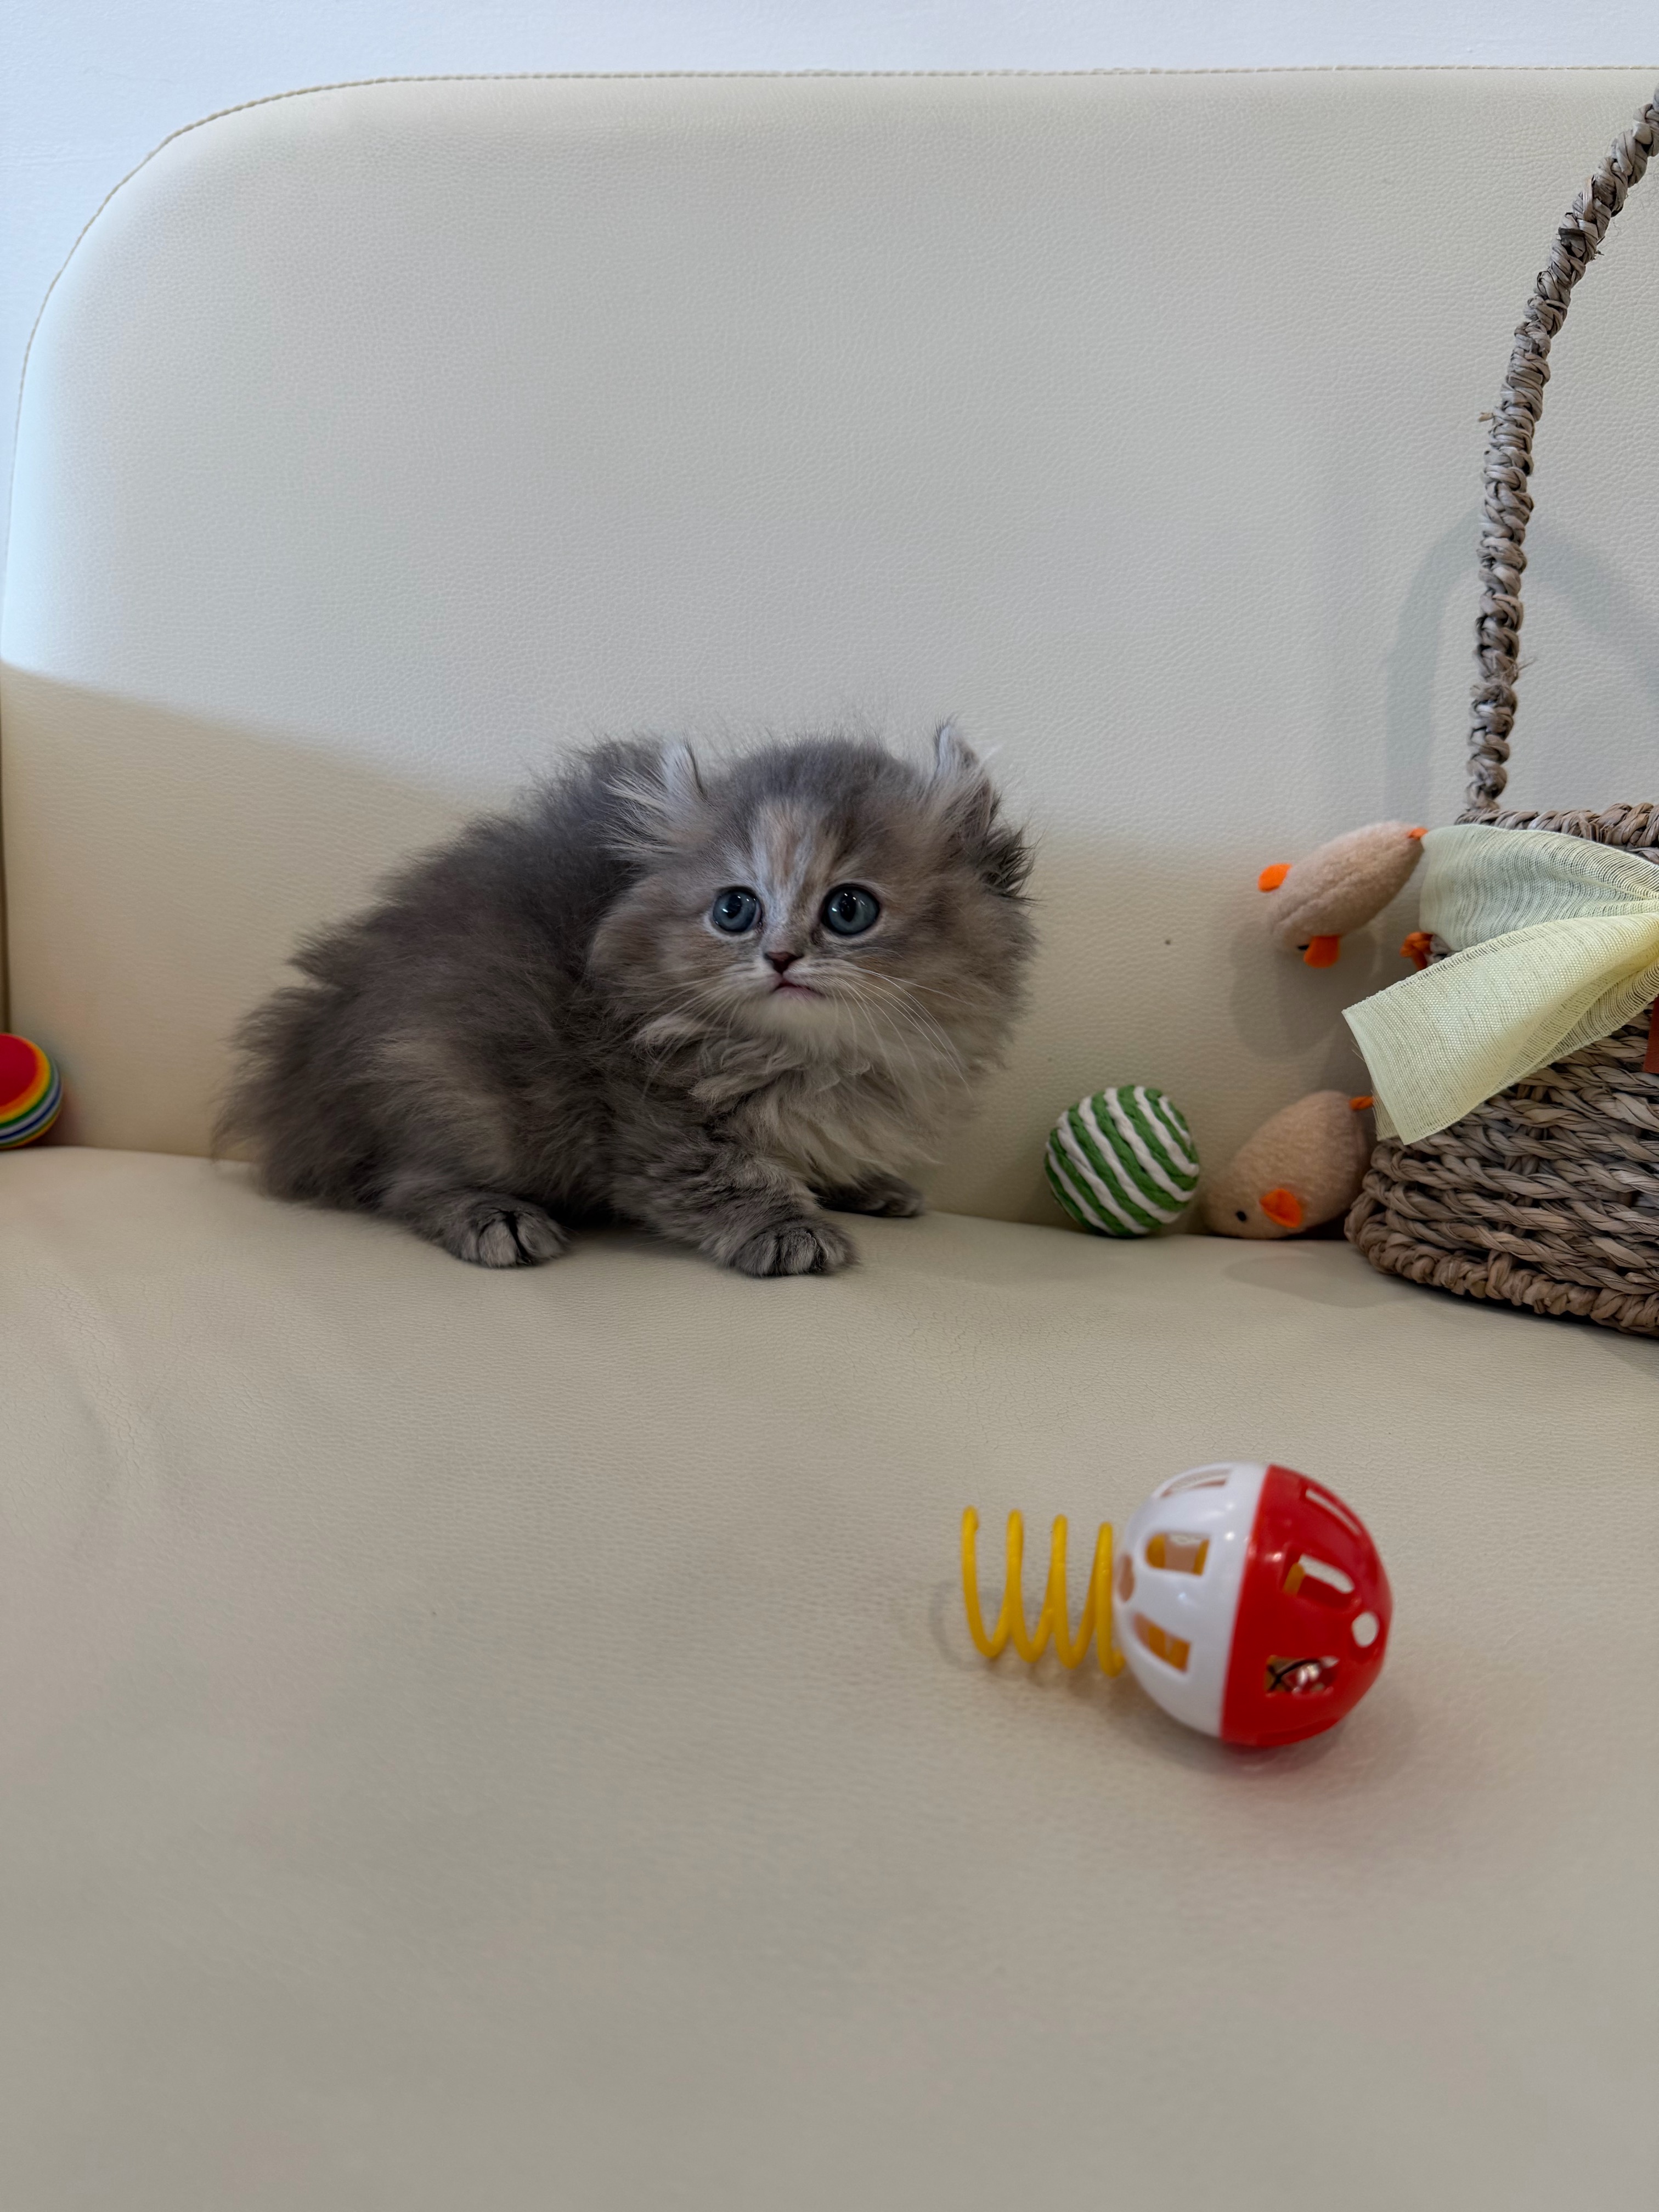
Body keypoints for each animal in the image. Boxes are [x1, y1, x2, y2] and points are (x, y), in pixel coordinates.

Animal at [219, 726, 1033, 1277]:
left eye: (849, 910)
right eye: (735, 910)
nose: (779, 957)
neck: (818, 1056)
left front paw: (867, 1185)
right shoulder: (645, 1114)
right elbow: (728, 1173)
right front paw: (788, 1228)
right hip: (459, 1091)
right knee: (404, 1180)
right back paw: (494, 1216)